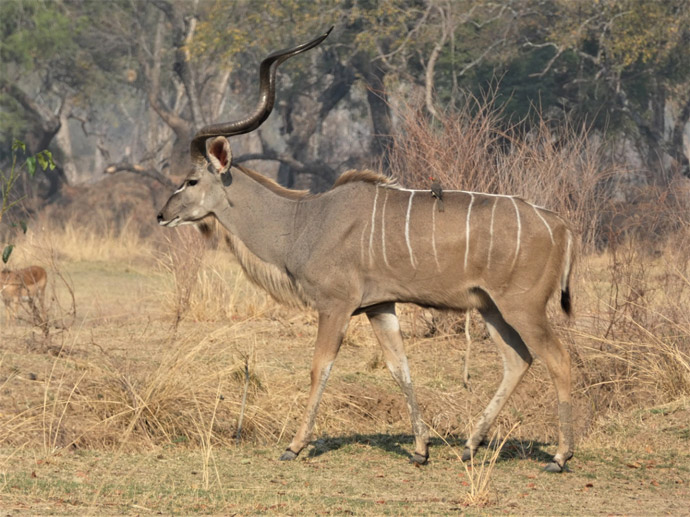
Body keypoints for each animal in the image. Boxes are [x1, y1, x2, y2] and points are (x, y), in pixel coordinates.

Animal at [156, 29, 576, 472]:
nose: (161, 215)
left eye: (191, 180)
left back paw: (560, 455)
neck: (304, 221)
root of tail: (561, 225)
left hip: (522, 306)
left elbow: (319, 368)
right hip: (490, 307)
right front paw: (420, 449)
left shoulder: (335, 305)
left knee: (557, 358)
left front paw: (294, 445)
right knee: (518, 360)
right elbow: (399, 368)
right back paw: (469, 445)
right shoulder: (380, 307)